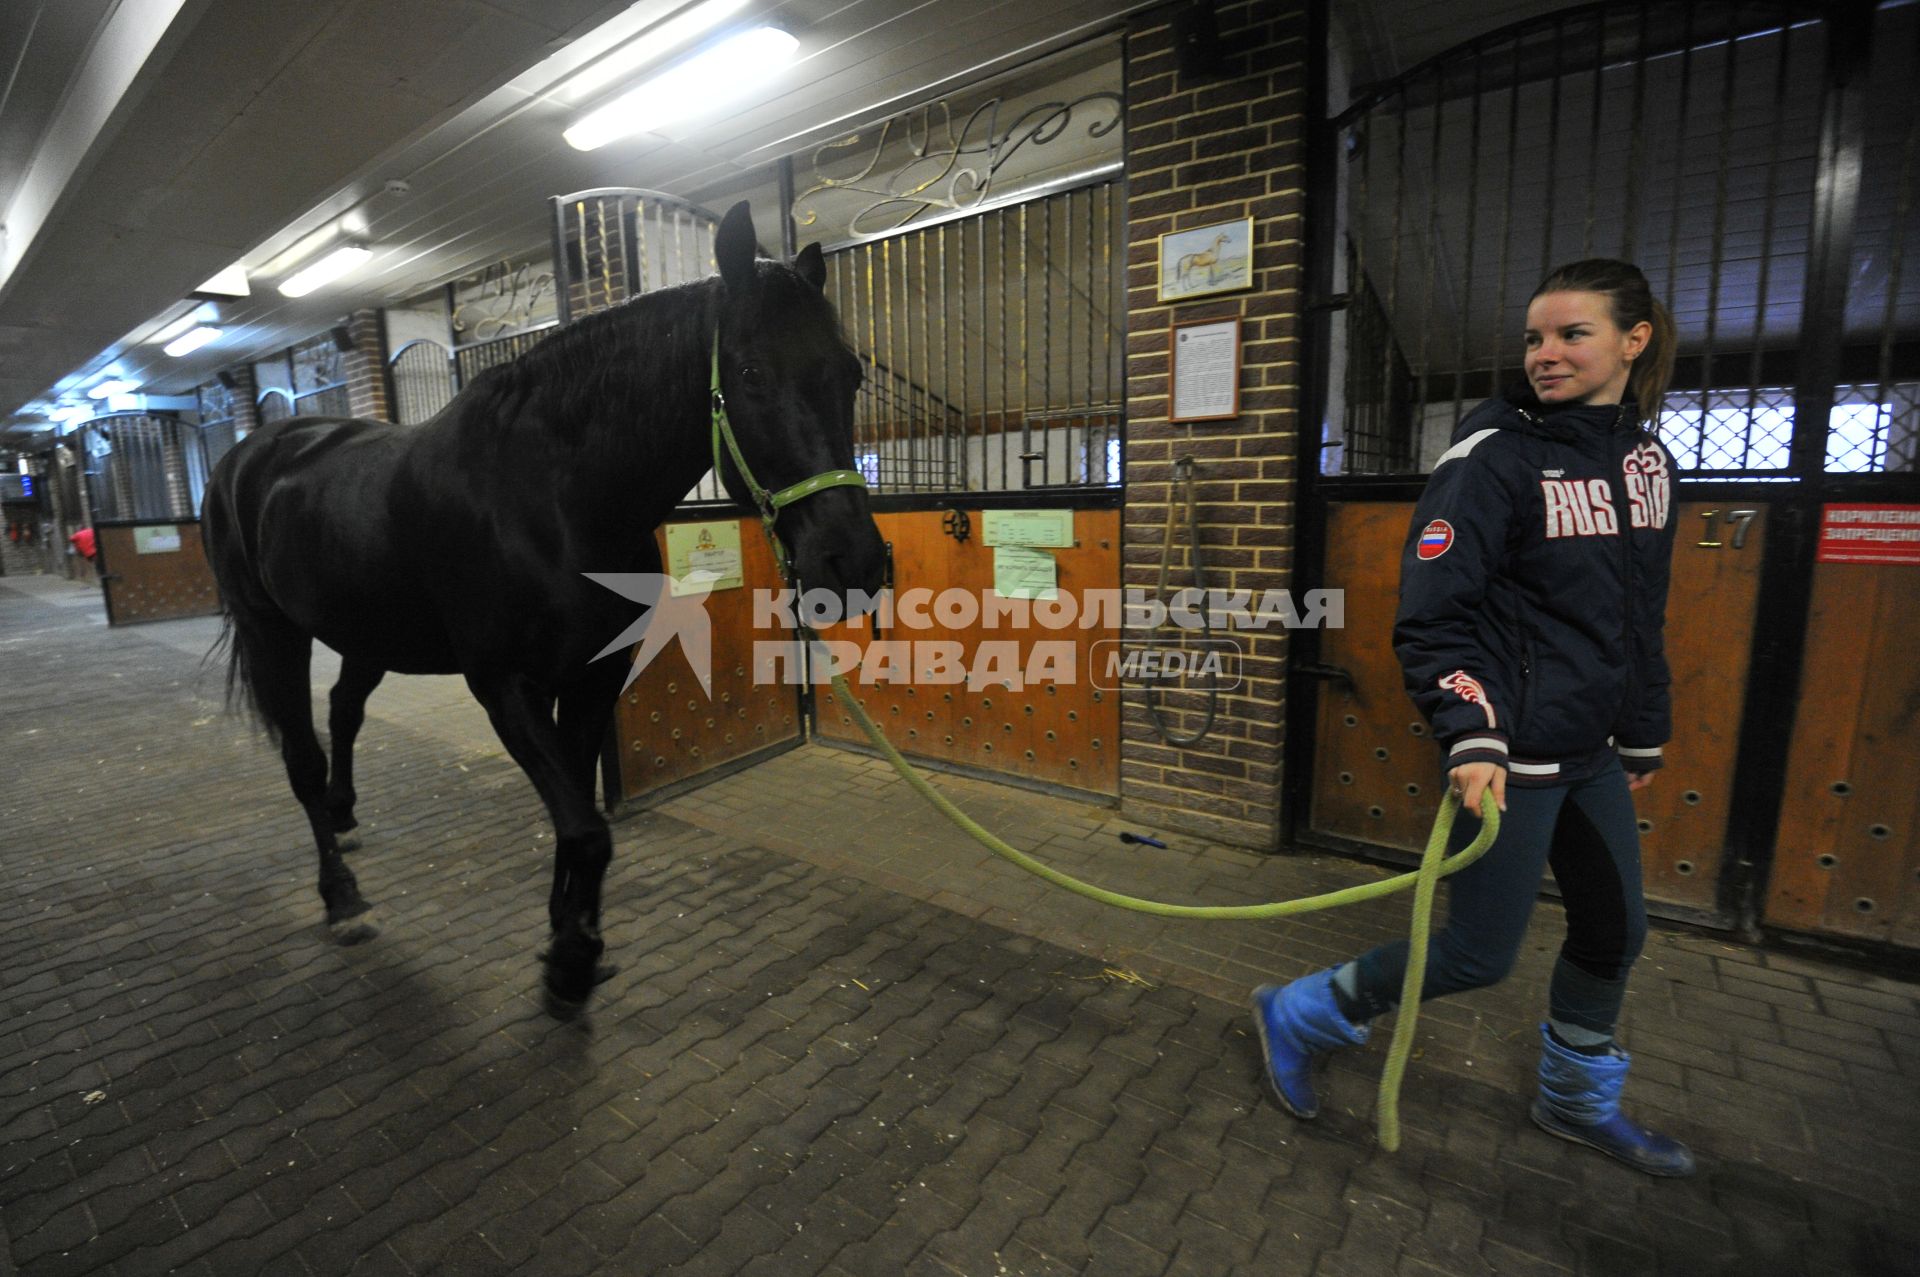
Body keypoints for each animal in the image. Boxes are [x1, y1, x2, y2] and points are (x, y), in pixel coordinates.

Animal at [202, 204, 883, 1013]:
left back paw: (346, 817)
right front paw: (570, 962)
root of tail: (254, 452)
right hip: (271, 630)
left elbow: (576, 813)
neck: (552, 499)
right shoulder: (505, 686)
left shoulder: (594, 677)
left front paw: (569, 933)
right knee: (302, 758)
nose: (854, 563)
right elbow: (586, 828)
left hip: (368, 632)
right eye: (750, 374)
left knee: (343, 709)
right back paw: (343, 899)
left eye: (852, 373)